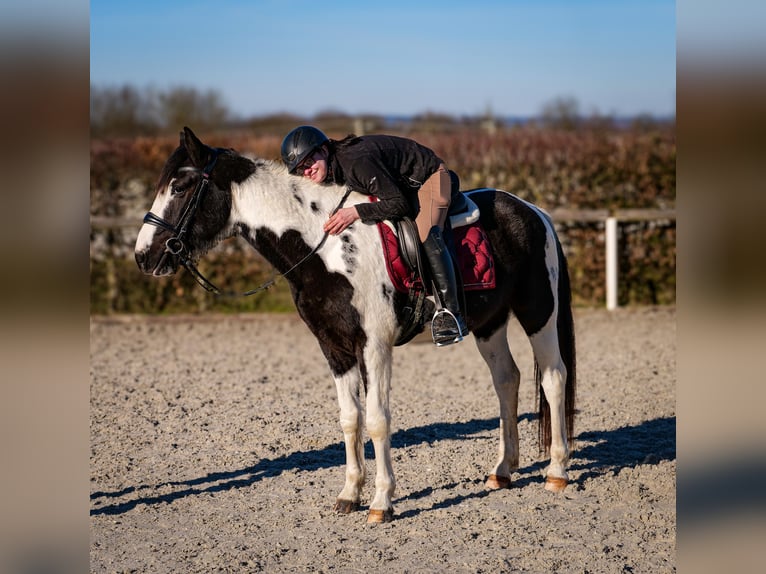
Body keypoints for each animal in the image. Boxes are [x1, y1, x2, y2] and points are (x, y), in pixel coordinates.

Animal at [134, 128, 576, 524]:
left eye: (180, 186)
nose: (143, 256)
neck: (325, 244)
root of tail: (535, 213)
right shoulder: (334, 346)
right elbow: (350, 418)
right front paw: (349, 494)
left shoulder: (373, 346)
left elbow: (378, 420)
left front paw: (382, 502)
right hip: (489, 323)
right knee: (507, 379)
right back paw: (503, 470)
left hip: (539, 312)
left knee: (553, 377)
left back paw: (556, 472)